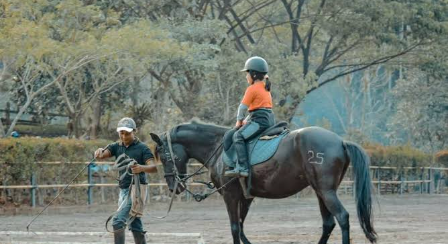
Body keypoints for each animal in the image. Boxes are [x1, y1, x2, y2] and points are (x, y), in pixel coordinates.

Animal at [150, 121, 378, 243]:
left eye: (166, 157)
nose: (174, 186)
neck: (217, 147)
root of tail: (340, 141)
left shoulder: (231, 195)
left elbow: (235, 227)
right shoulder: (246, 197)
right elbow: (242, 227)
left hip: (326, 191)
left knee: (342, 217)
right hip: (321, 192)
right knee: (328, 223)